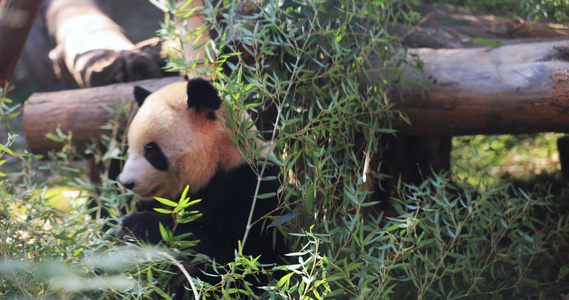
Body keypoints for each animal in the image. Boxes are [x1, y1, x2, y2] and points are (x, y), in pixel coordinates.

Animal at [115, 77, 286, 298]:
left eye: (151, 150)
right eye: (131, 147)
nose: (127, 182)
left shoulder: (253, 187)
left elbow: (229, 249)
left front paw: (132, 226)